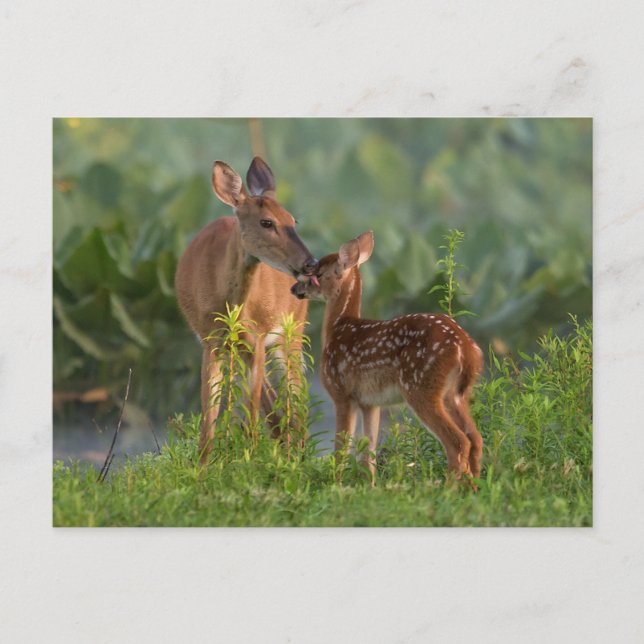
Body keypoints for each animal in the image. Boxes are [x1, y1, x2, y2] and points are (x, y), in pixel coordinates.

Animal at [175, 157, 319, 463]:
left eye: (293, 220)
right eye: (266, 222)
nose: (310, 263)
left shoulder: (259, 338)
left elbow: (251, 413)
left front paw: (250, 461)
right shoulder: (211, 341)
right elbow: (210, 417)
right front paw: (204, 467)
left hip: (292, 333)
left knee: (296, 396)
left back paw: (297, 456)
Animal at [291, 231, 484, 486]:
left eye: (317, 274)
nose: (294, 288)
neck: (339, 327)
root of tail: (466, 349)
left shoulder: (341, 392)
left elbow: (342, 447)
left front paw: (335, 482)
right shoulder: (370, 402)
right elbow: (368, 451)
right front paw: (369, 486)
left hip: (421, 387)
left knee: (458, 441)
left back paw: (448, 488)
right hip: (456, 394)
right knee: (476, 438)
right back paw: (474, 486)